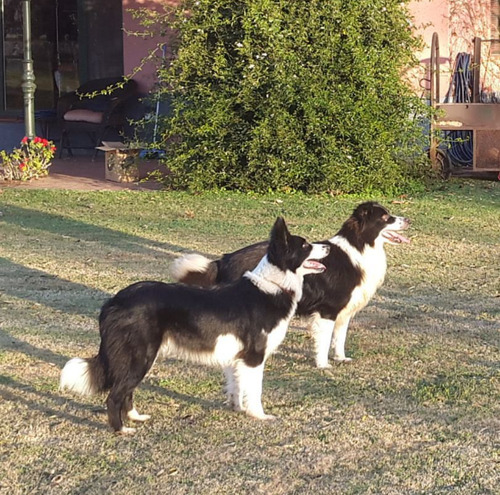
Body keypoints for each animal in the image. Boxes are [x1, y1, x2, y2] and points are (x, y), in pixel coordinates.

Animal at [60, 218, 330, 434]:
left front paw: (237, 408)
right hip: (139, 357)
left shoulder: (237, 357)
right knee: (115, 396)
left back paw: (135, 417)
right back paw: (121, 430)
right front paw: (259, 415)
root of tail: (114, 301)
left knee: (126, 391)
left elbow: (236, 386)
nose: (327, 246)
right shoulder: (254, 357)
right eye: (305, 245)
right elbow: (255, 390)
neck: (274, 285)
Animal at [171, 202, 410, 368]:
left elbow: (339, 339)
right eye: (386, 217)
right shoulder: (328, 310)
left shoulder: (344, 312)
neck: (360, 246)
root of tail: (223, 260)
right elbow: (324, 341)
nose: (408, 220)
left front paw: (341, 358)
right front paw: (323, 365)